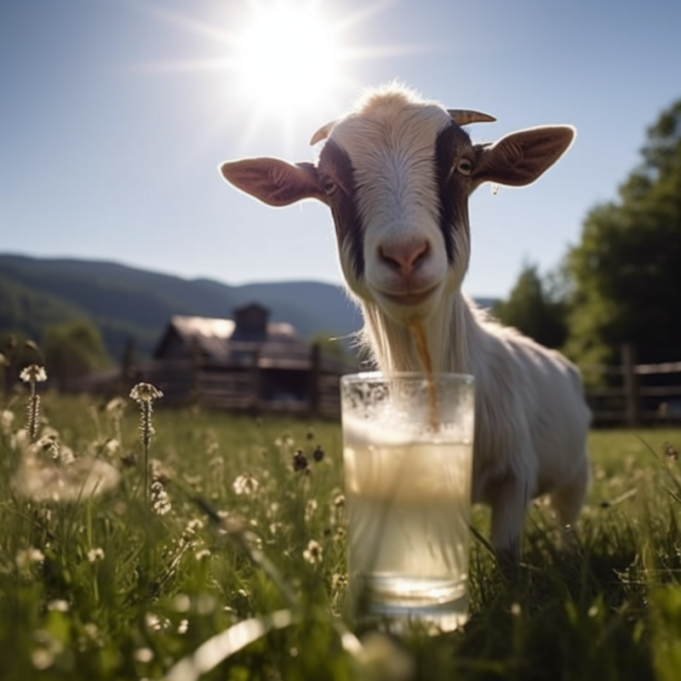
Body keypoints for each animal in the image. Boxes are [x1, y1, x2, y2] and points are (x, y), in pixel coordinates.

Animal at [219, 83, 591, 561]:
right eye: (329, 184)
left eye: (464, 166)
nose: (405, 255)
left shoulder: (516, 477)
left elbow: (507, 557)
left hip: (577, 473)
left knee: (567, 517)